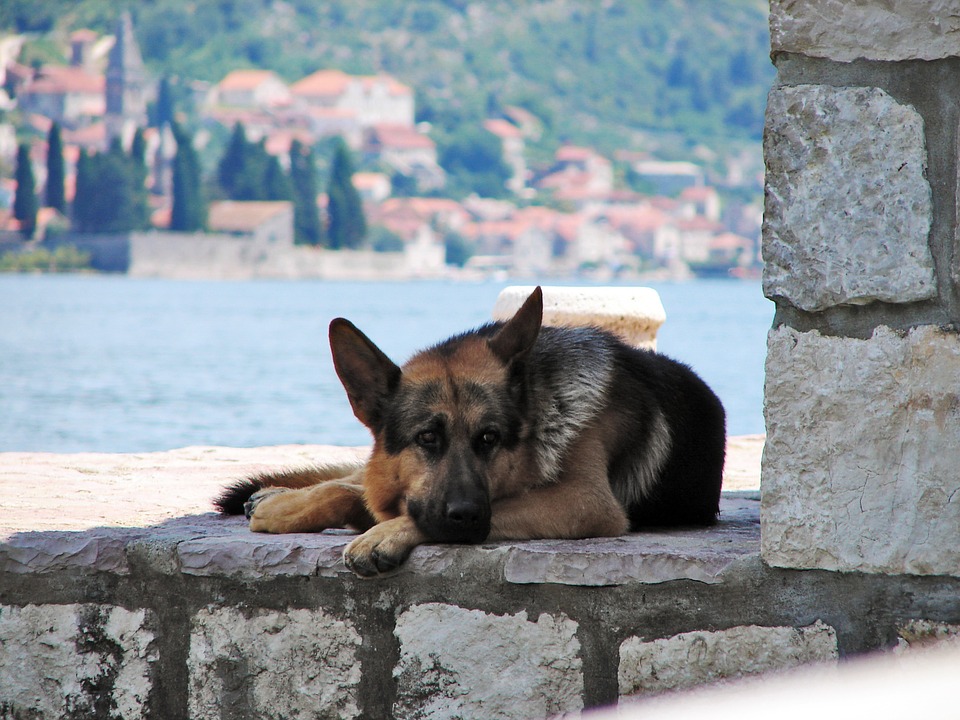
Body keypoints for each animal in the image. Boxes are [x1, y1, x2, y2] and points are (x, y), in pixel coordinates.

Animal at [216, 290, 728, 576]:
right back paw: (277, 498)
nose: (464, 515)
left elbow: (433, 512)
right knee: (353, 479)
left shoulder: (584, 502)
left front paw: (383, 534)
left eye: (489, 439)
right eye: (426, 438)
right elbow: (359, 492)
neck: (539, 407)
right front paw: (292, 506)